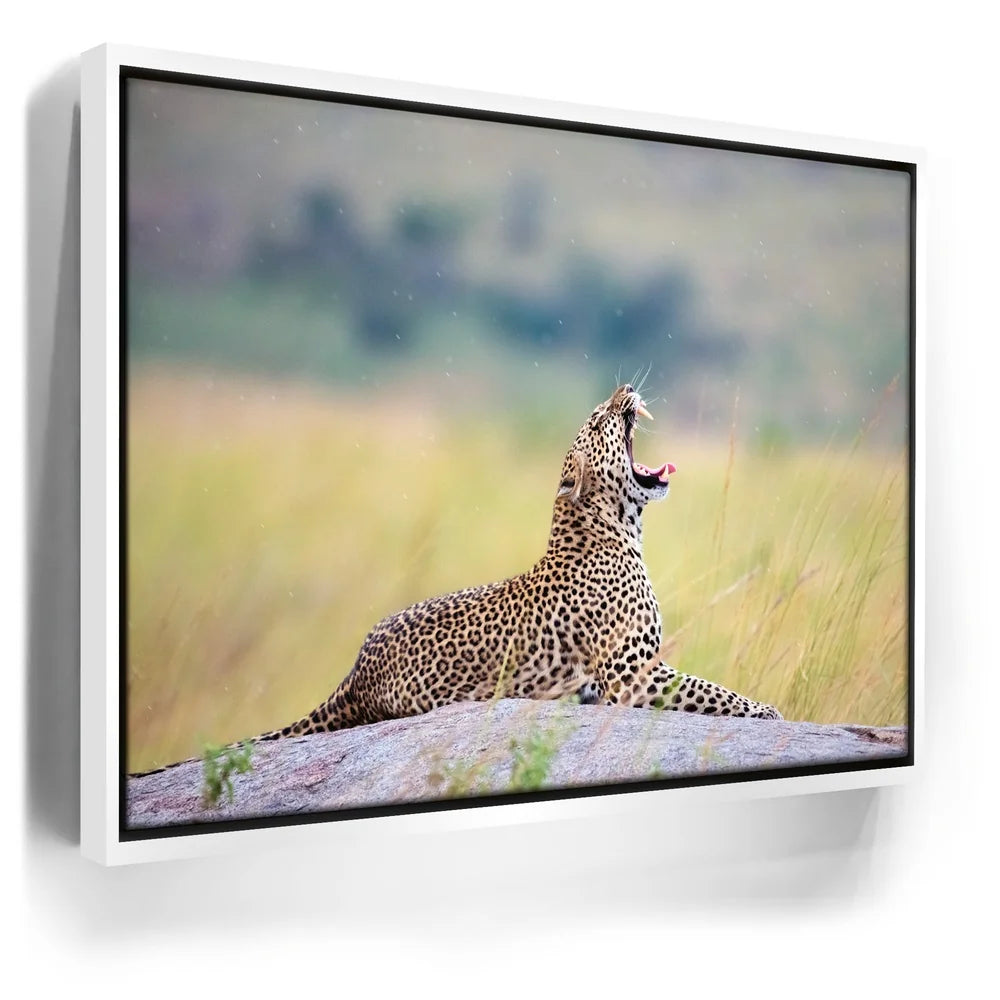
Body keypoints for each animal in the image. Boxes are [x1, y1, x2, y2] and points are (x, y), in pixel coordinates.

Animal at [134, 384, 781, 777]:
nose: (625, 390)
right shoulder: (633, 675)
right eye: (600, 420)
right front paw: (771, 714)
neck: (617, 528)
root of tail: (355, 668)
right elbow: (714, 694)